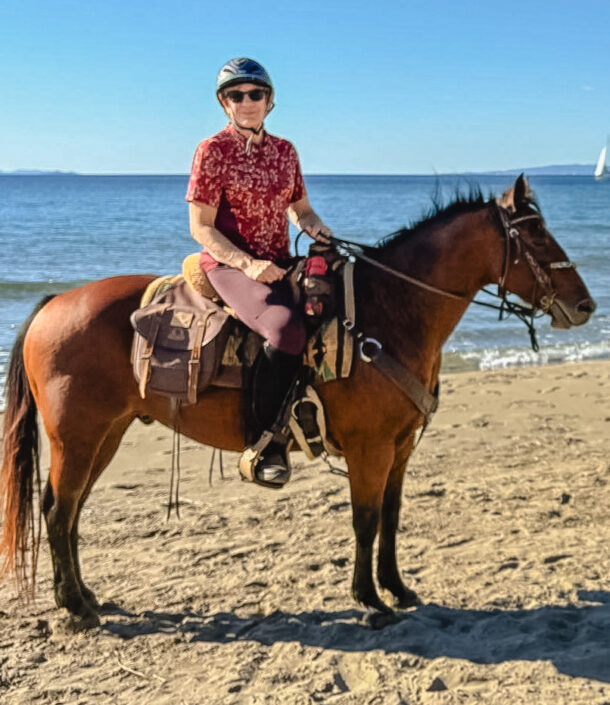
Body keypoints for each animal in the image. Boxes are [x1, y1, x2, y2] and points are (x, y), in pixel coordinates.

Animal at [0, 175, 596, 629]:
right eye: (535, 234)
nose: (586, 305)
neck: (388, 314)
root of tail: (55, 301)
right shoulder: (371, 449)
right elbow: (365, 520)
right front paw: (370, 602)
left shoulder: (400, 448)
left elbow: (392, 518)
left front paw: (397, 589)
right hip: (78, 437)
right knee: (58, 511)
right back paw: (76, 607)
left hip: (104, 434)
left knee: (68, 512)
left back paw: (83, 597)